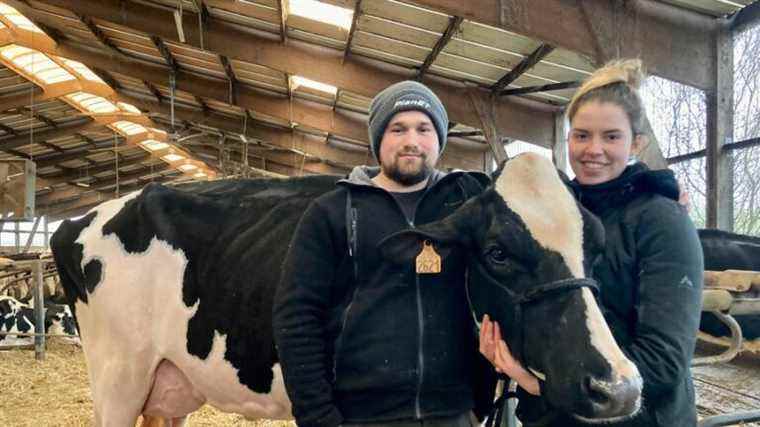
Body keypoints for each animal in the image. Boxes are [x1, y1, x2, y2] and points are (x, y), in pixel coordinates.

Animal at [49, 155, 640, 427]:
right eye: (496, 252)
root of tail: (84, 217)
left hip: (168, 383)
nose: (619, 387)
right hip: (117, 376)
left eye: (596, 245)